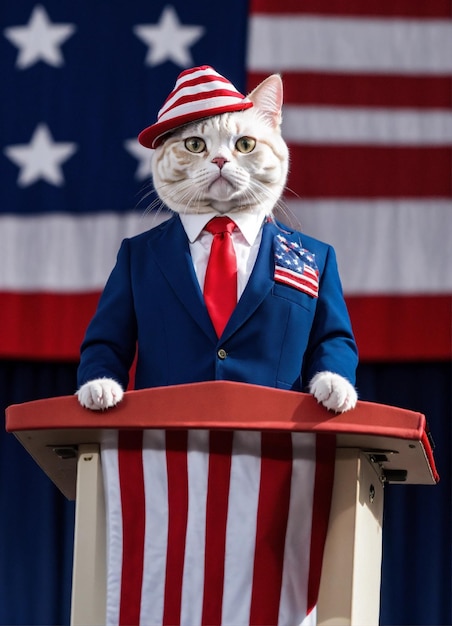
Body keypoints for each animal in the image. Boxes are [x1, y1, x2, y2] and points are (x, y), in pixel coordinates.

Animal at [78, 66, 360, 412]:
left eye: (246, 144)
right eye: (195, 144)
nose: (220, 160)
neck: (222, 221)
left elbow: (332, 337)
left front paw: (334, 384)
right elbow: (105, 340)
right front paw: (100, 385)